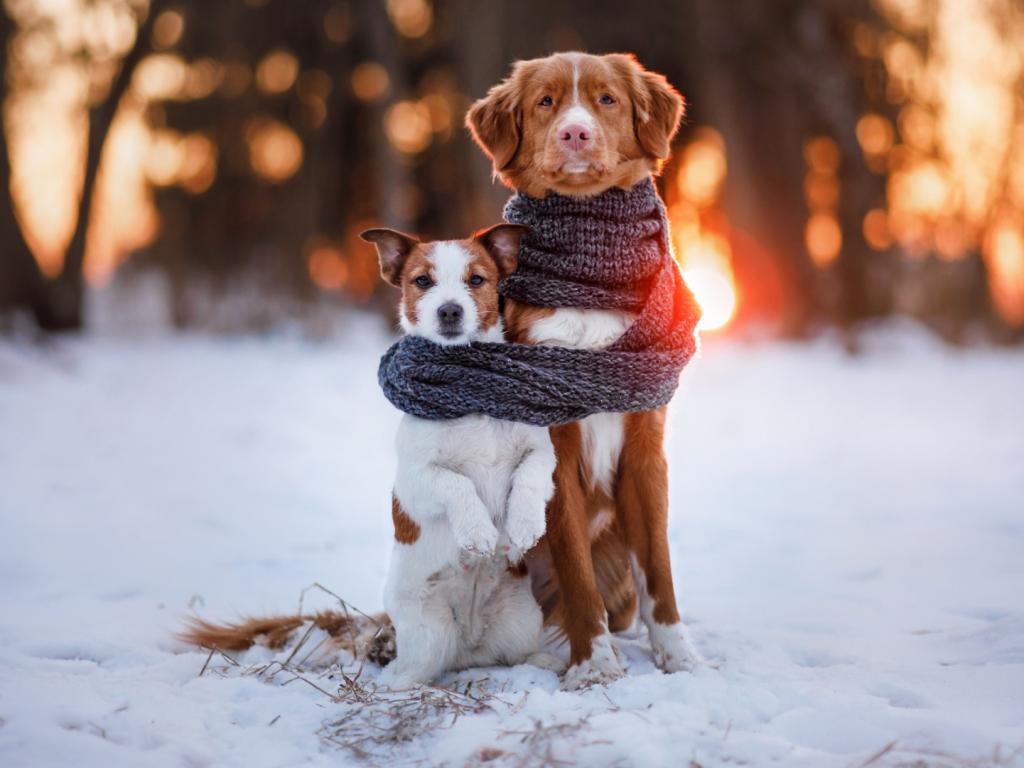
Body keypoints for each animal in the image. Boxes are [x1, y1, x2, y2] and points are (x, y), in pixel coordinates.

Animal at [358, 225, 552, 688]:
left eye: (476, 279)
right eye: (422, 281)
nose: (449, 310)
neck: (471, 392)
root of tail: (469, 644)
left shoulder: (541, 452)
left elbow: (529, 476)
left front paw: (523, 524)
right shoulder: (417, 480)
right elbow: (457, 482)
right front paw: (478, 531)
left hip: (522, 621)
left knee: (518, 655)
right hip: (429, 635)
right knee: (411, 670)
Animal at [466, 54, 700, 692]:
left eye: (607, 99)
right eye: (545, 102)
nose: (575, 133)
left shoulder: (646, 443)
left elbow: (660, 566)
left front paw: (679, 655)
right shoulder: (555, 448)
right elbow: (574, 567)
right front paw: (592, 663)